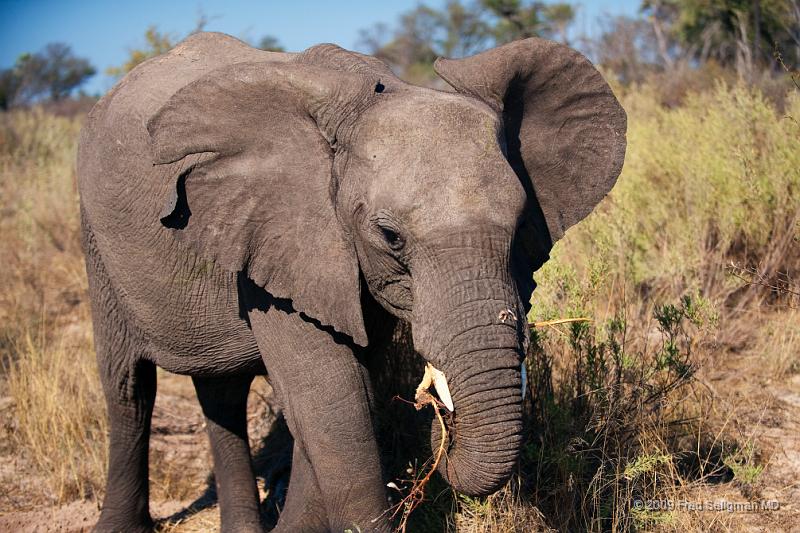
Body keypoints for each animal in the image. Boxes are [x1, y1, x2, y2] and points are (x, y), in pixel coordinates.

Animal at [75, 32, 624, 532]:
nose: (439, 423)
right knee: (128, 388)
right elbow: (331, 401)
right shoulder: (287, 238)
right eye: (390, 236)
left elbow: (340, 397)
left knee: (221, 392)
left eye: (521, 225)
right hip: (95, 240)